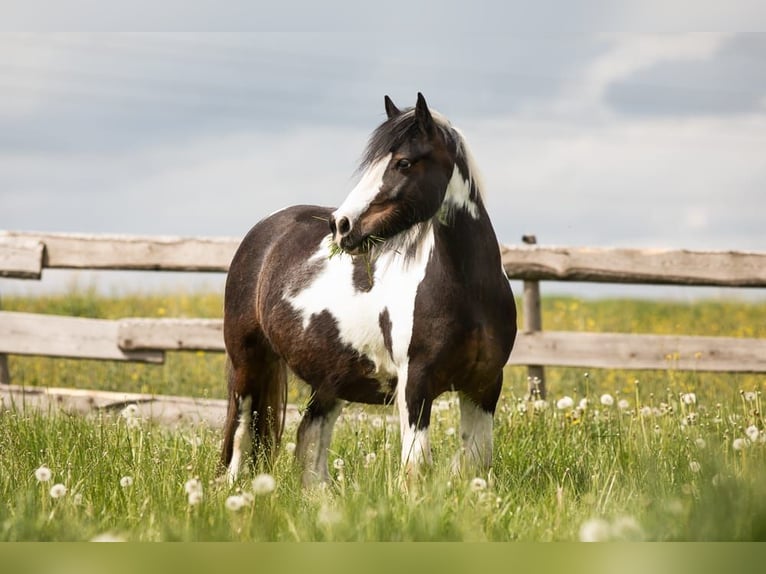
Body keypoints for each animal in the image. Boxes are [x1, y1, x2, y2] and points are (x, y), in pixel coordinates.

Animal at [222, 93, 520, 486]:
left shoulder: (484, 385)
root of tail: (263, 232)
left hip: (328, 379)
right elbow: (415, 466)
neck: (470, 294)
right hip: (248, 362)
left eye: (403, 163)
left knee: (311, 437)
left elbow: (476, 461)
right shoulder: (415, 384)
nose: (341, 225)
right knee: (242, 435)